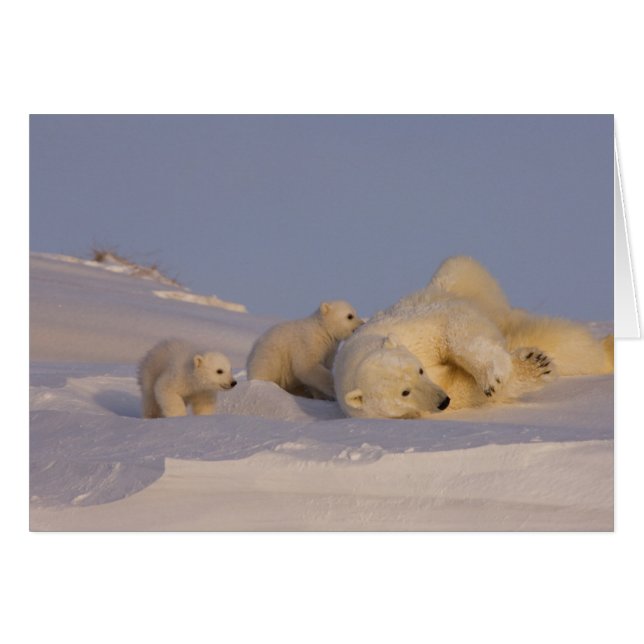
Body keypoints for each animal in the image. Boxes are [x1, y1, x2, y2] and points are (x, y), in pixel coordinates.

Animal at [333, 256, 613, 419]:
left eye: (419, 370)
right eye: (404, 392)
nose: (442, 401)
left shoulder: (409, 328)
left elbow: (452, 327)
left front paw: (495, 376)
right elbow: (463, 388)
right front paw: (534, 367)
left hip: (464, 283)